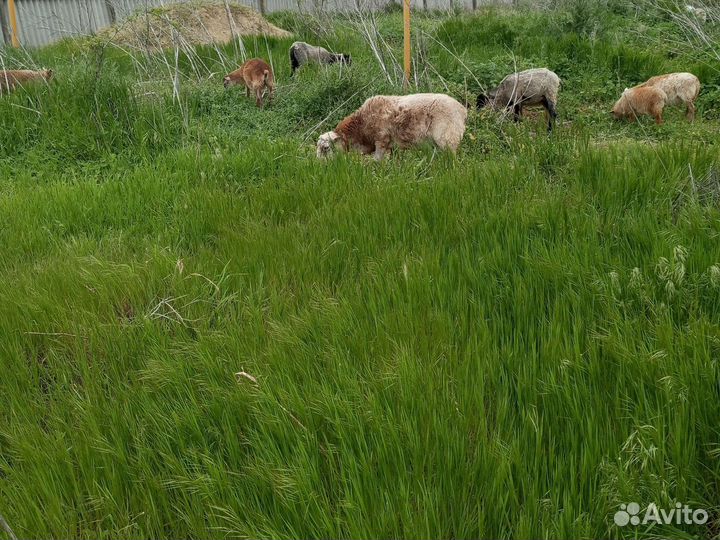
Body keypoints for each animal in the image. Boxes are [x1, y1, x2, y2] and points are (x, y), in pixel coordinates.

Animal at [316, 93, 467, 160]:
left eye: (326, 148)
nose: (319, 165)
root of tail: (462, 109)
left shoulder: (381, 140)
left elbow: (377, 161)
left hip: (448, 138)